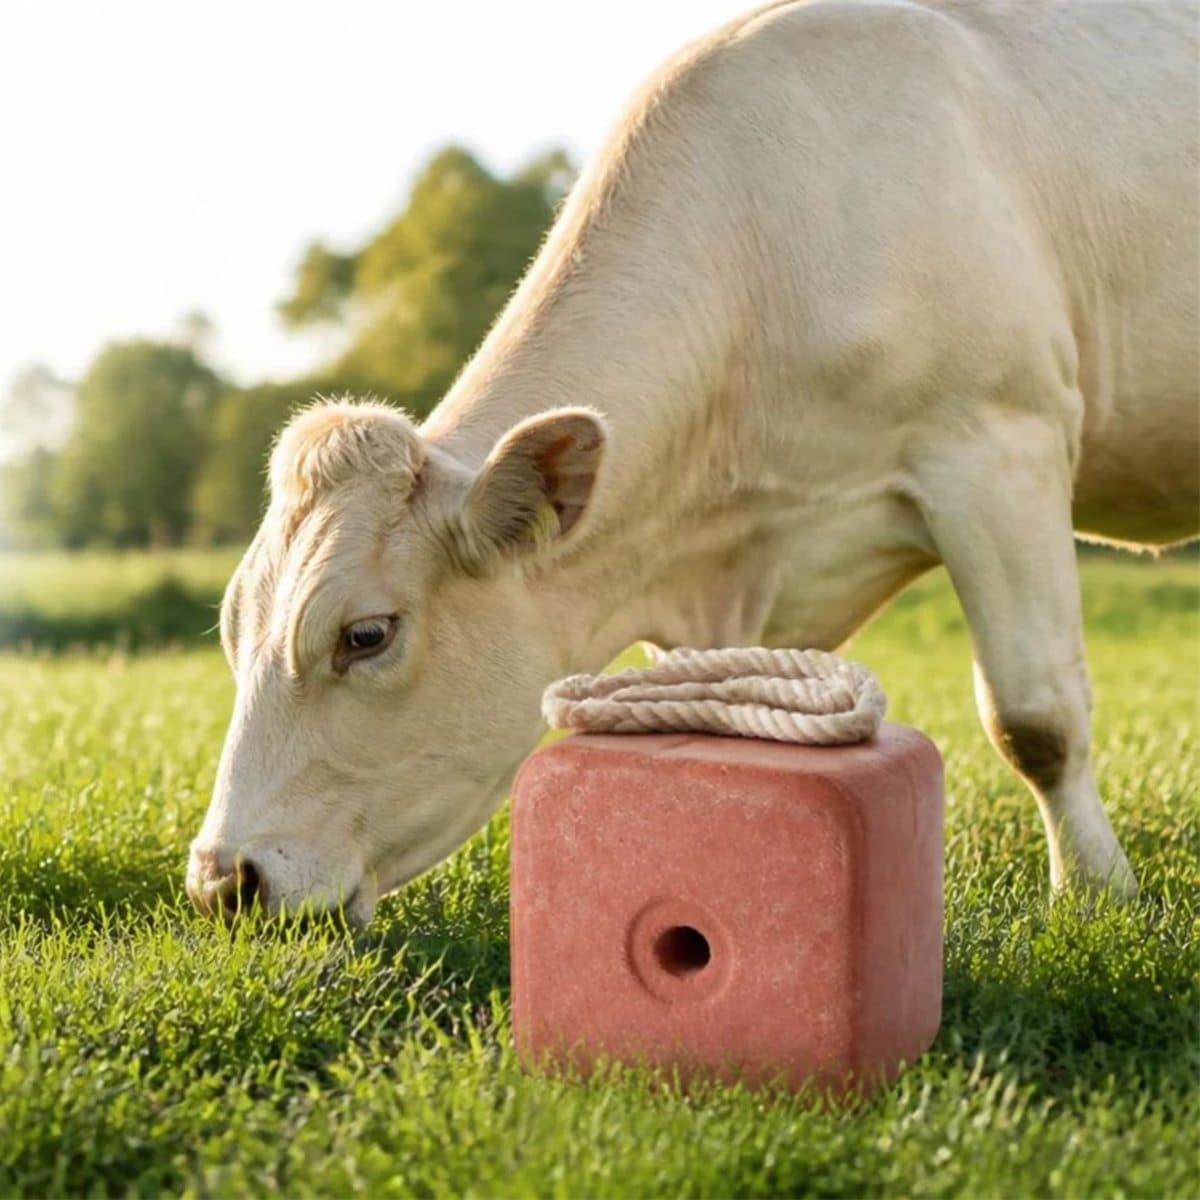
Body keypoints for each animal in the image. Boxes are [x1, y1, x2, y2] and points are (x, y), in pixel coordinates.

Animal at [188, 0, 1199, 925]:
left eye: (367, 634)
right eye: (233, 629)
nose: (222, 880)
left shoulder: (998, 443)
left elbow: (1036, 716)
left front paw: (1097, 896)